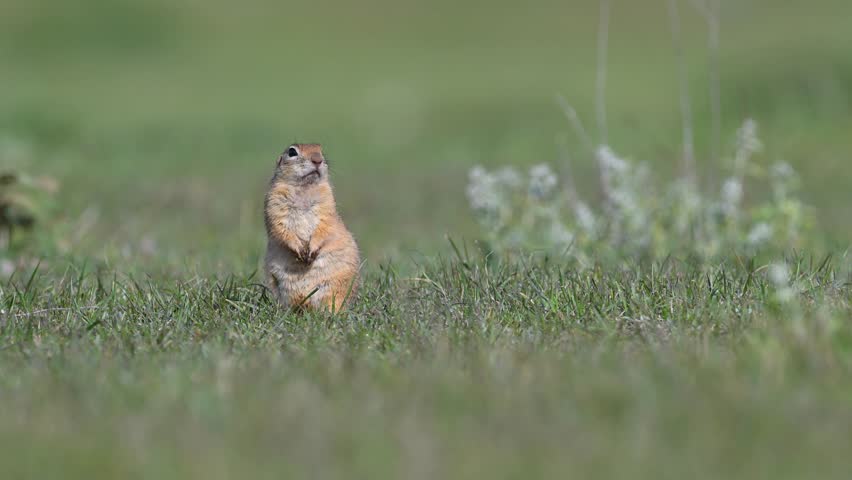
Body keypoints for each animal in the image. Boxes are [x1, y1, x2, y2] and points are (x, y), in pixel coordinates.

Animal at [264, 143, 360, 312]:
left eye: (320, 150)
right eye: (292, 151)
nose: (317, 159)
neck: (304, 188)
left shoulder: (327, 205)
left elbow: (324, 227)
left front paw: (311, 250)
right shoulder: (274, 203)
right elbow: (280, 228)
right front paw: (300, 251)